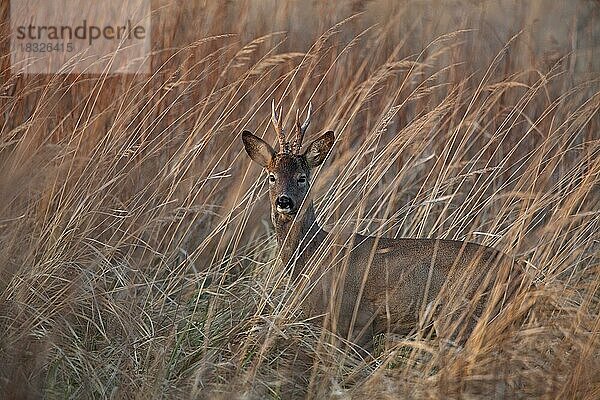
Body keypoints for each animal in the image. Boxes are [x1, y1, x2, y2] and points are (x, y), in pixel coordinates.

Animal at [240, 101, 528, 354]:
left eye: (302, 177)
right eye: (271, 176)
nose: (284, 201)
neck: (313, 256)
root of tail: (520, 275)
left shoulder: (357, 321)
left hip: (459, 318)